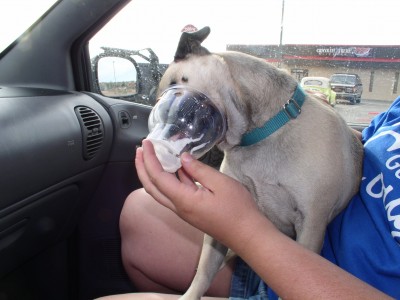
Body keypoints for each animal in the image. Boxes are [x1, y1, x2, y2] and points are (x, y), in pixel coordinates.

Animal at [152, 27, 364, 298]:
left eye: (175, 84)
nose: (165, 113)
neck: (260, 132)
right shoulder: (216, 239)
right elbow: (204, 271)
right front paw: (190, 294)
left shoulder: (311, 226)